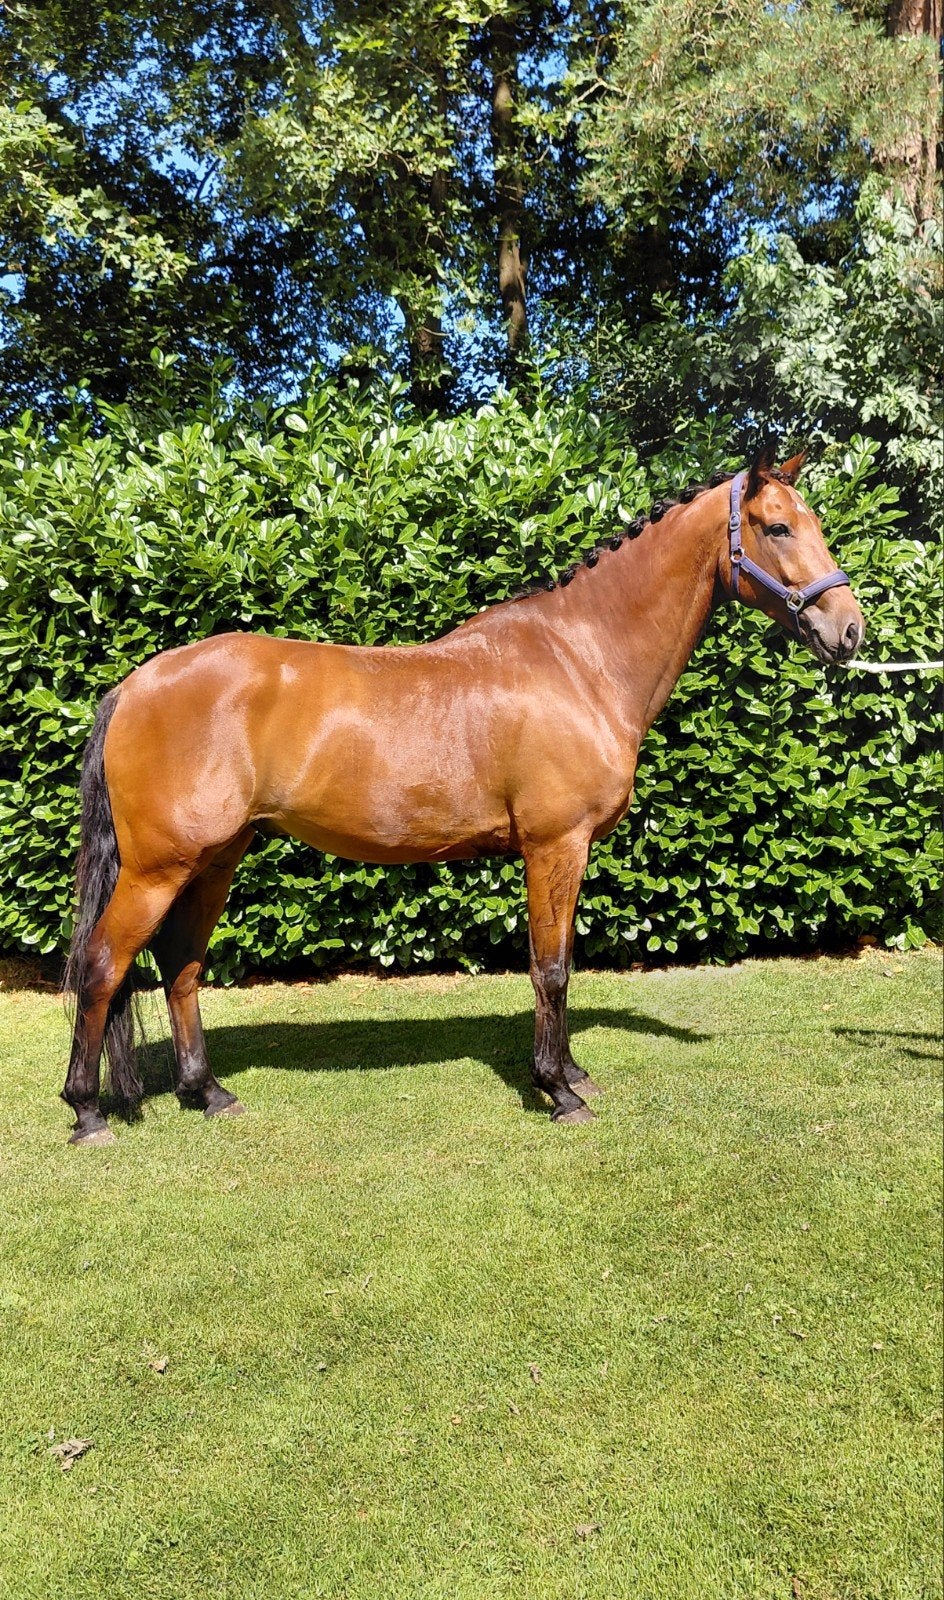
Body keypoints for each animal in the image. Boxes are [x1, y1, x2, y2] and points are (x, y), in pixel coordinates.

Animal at [62, 445, 864, 1145]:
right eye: (777, 526)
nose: (849, 631)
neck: (580, 660)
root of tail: (134, 685)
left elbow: (560, 961)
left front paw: (572, 1071)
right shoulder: (553, 846)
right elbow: (550, 966)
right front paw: (558, 1090)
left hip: (216, 859)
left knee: (181, 966)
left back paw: (208, 1093)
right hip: (157, 868)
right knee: (102, 966)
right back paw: (87, 1111)